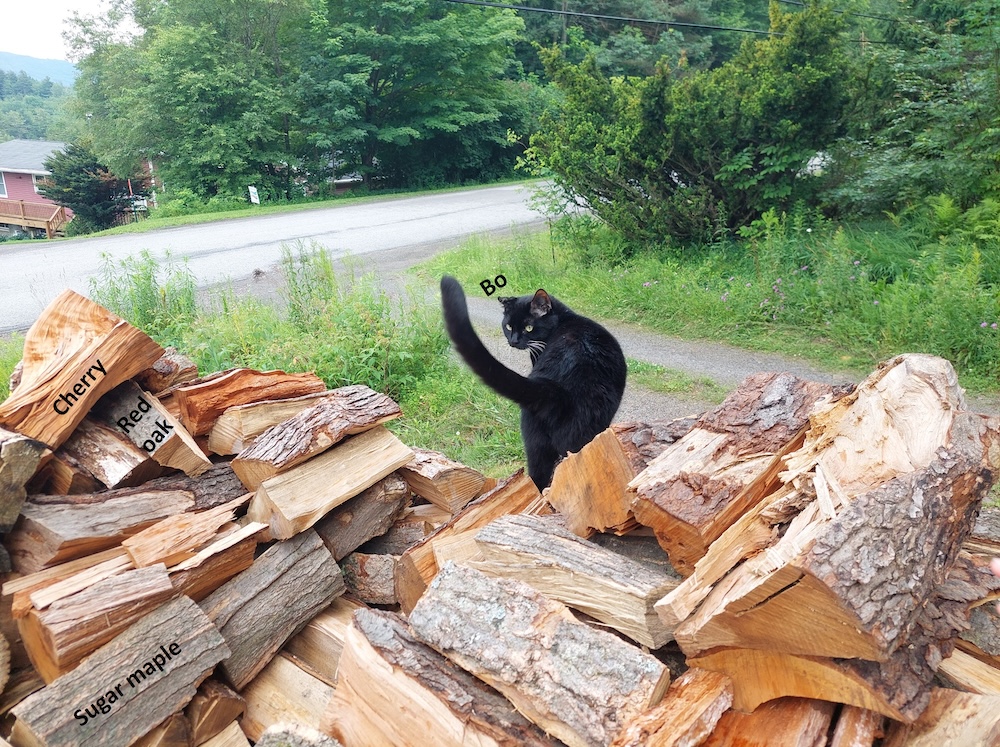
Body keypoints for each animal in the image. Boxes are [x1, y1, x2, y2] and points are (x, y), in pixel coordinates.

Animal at [440, 274, 624, 490]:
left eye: (529, 327)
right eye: (509, 326)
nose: (513, 341)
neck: (563, 320)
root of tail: (555, 389)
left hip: (535, 441)